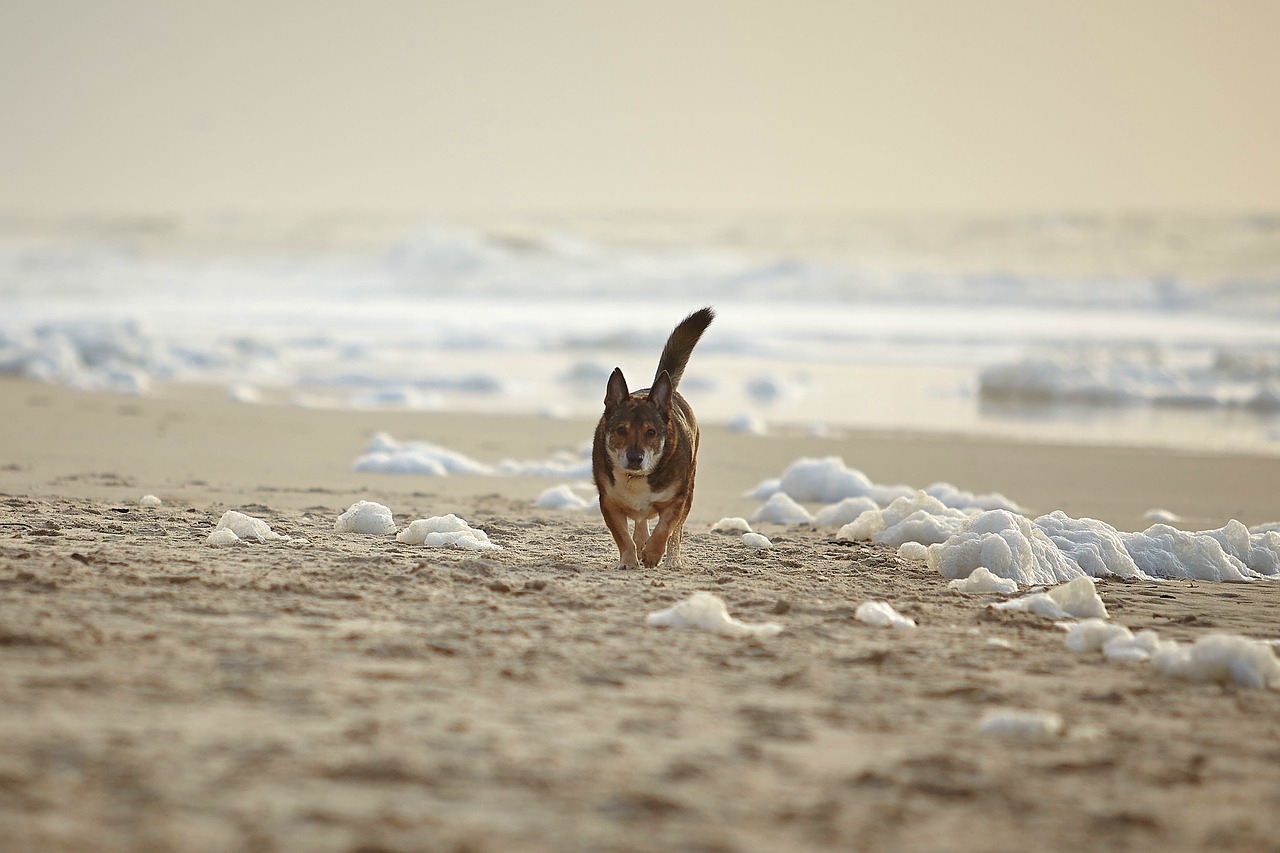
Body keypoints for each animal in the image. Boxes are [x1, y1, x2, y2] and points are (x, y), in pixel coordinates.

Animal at [591, 302, 716, 568]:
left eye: (651, 432)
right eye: (621, 430)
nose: (635, 458)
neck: (636, 479)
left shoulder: (678, 499)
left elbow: (665, 528)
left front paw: (652, 554)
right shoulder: (608, 503)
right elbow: (623, 536)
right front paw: (630, 560)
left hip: (689, 490)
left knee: (675, 532)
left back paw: (671, 559)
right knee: (640, 522)